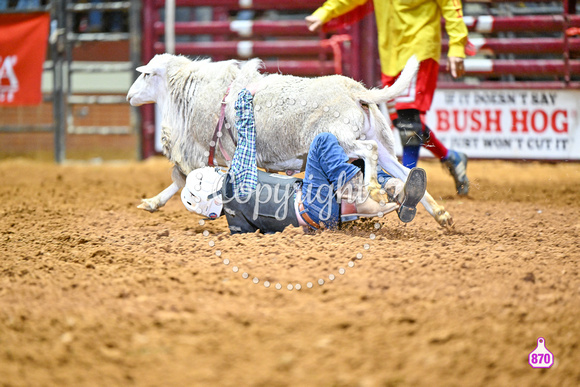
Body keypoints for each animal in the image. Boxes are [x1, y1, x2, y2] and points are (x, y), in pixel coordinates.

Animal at [125, 53, 454, 226]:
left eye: (146, 75)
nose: (128, 96)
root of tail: (355, 90)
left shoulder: (224, 154)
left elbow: (190, 181)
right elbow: (182, 181)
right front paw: (152, 203)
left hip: (340, 137)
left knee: (369, 152)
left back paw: (374, 188)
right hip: (382, 141)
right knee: (405, 172)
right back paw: (438, 212)